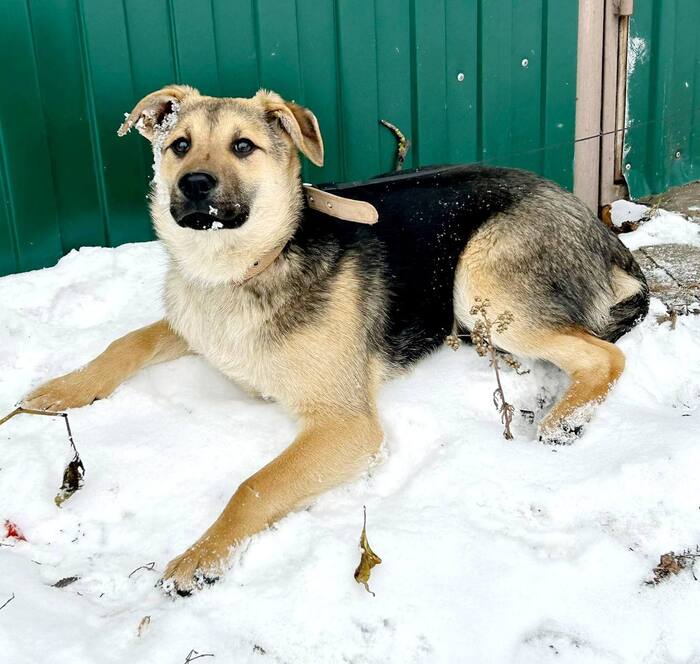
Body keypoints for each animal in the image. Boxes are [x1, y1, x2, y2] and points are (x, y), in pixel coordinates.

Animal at [23, 85, 652, 592]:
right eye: (179, 145)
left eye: (243, 147)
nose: (194, 184)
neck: (242, 269)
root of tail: (596, 225)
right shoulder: (190, 325)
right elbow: (124, 343)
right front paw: (62, 390)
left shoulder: (346, 425)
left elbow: (253, 487)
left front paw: (202, 556)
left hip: (484, 285)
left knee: (606, 355)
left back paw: (566, 418)